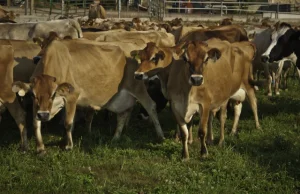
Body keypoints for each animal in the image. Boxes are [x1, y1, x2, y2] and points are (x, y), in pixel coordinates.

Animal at [11, 33, 164, 155]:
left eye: (53, 94)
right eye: (32, 95)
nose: (43, 115)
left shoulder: (72, 96)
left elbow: (68, 123)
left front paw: (68, 146)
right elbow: (36, 123)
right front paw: (41, 148)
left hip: (138, 87)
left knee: (151, 106)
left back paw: (160, 136)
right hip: (120, 98)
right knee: (122, 114)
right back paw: (115, 137)